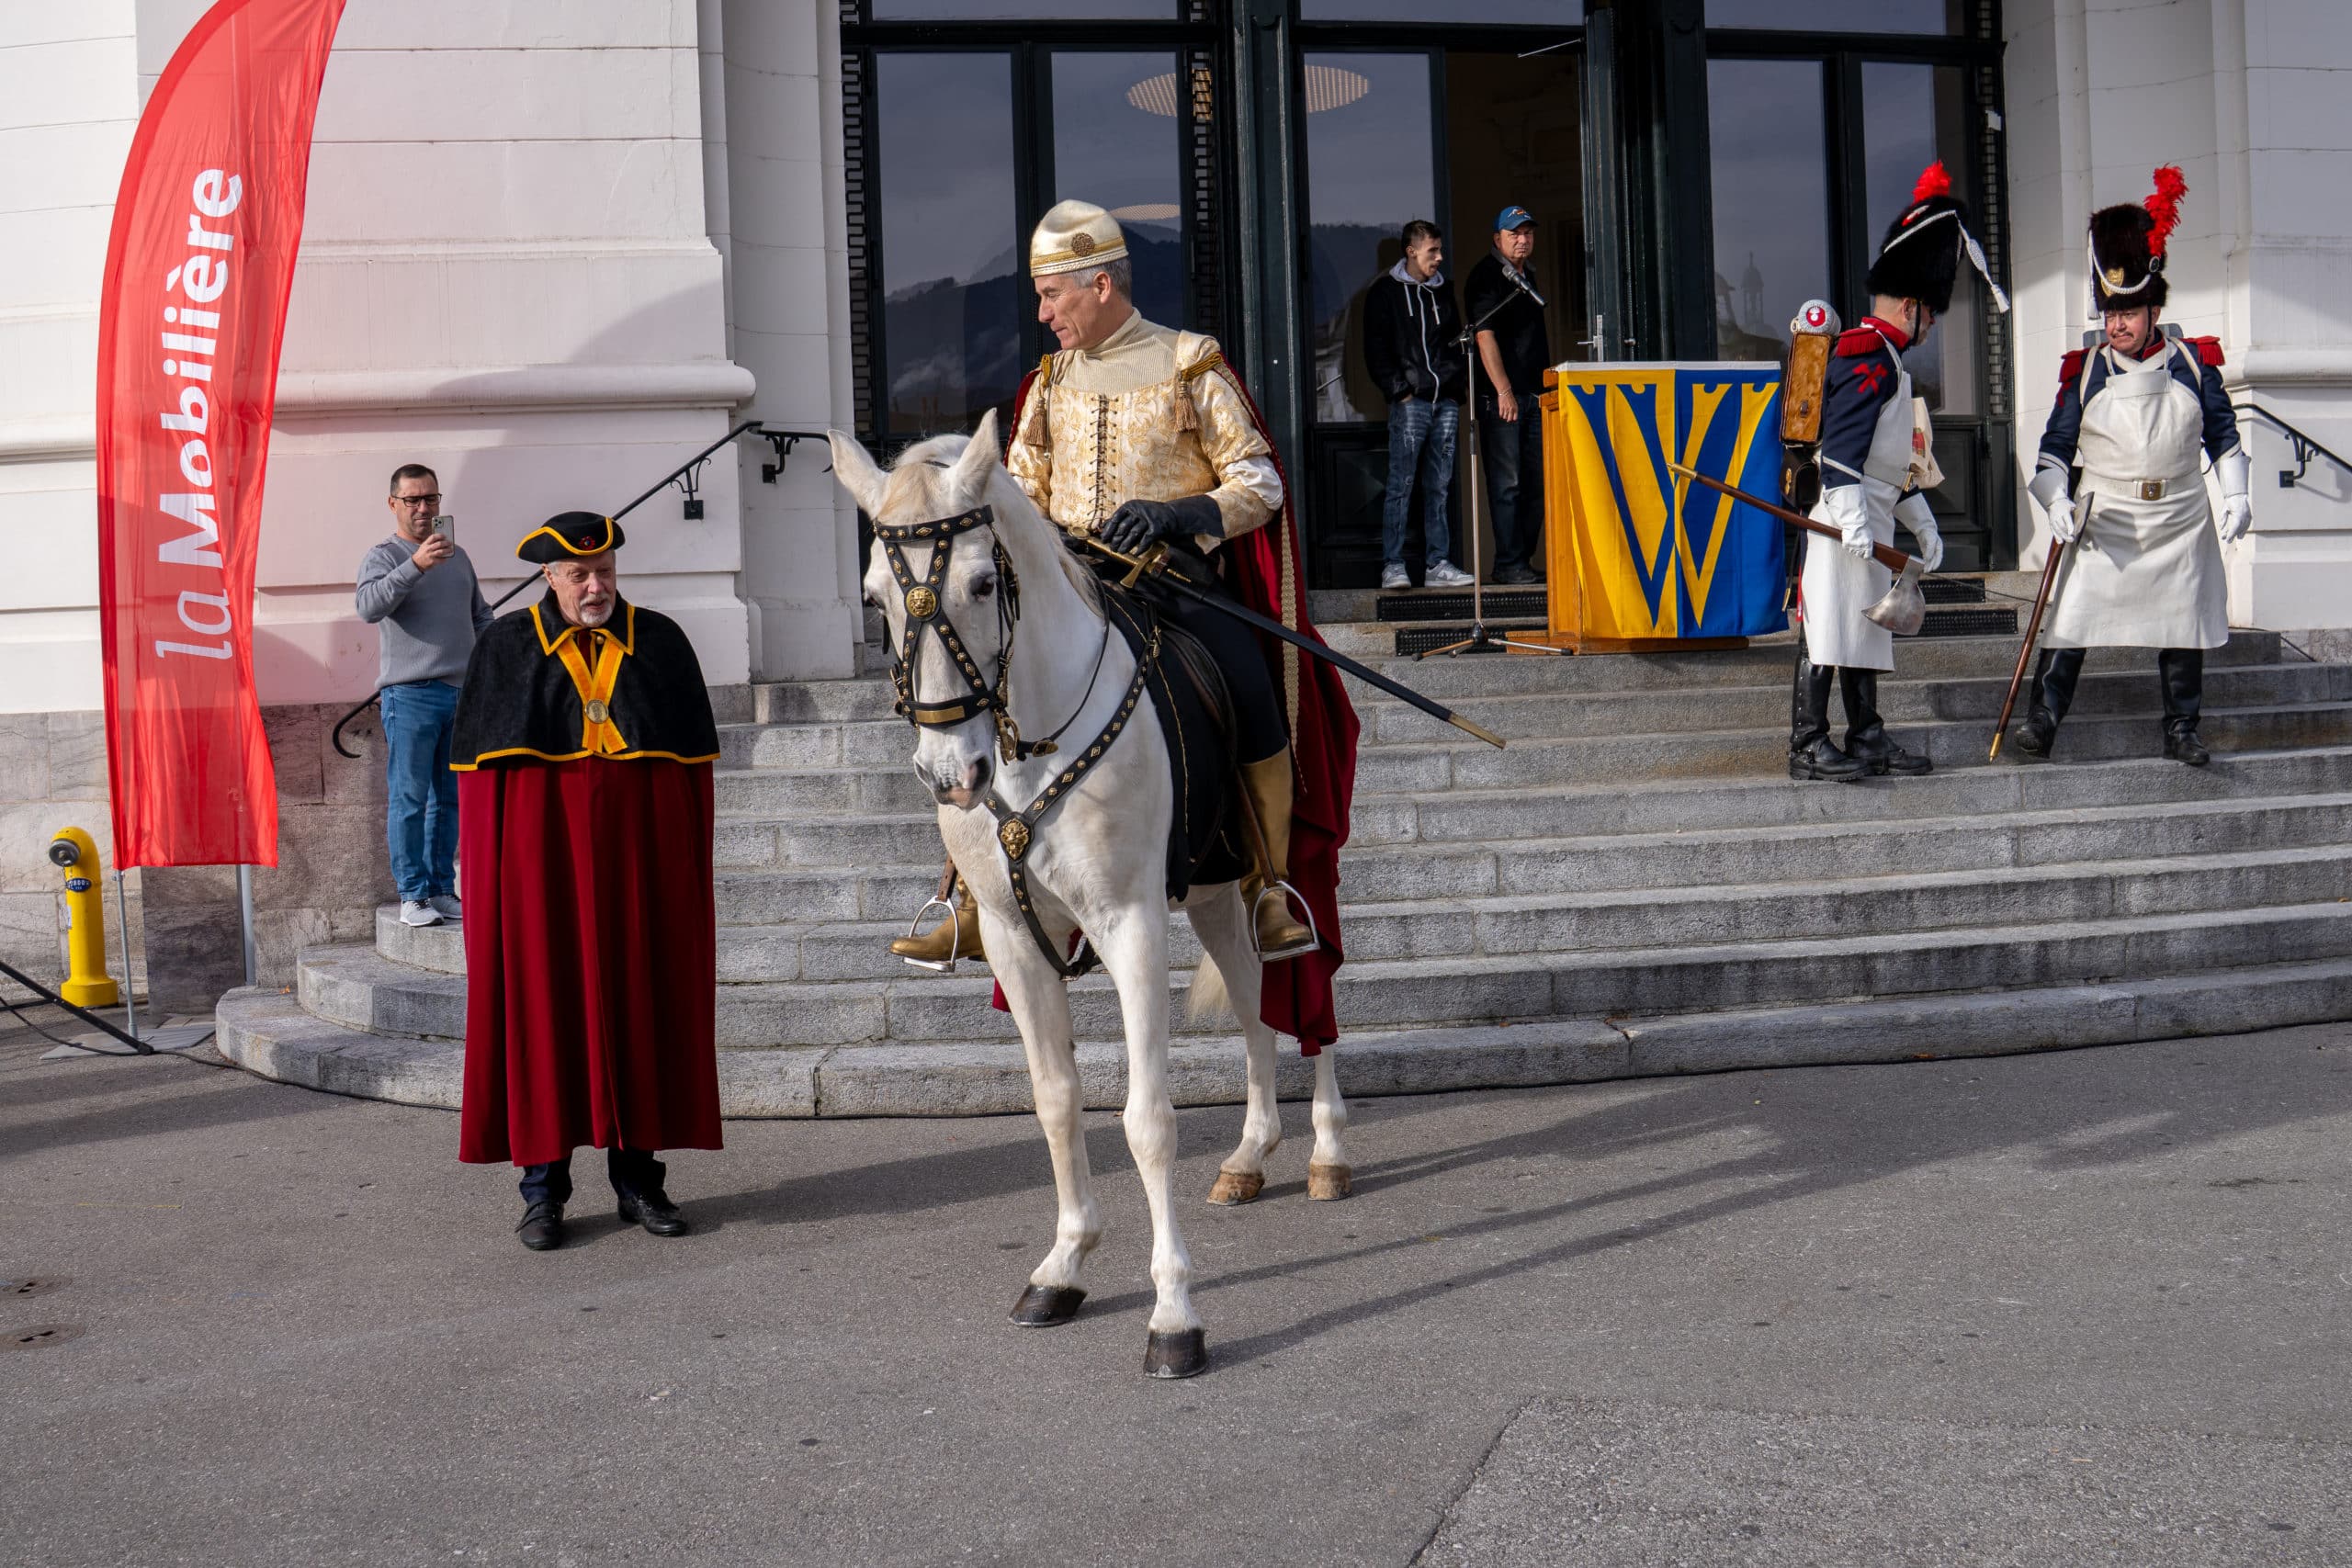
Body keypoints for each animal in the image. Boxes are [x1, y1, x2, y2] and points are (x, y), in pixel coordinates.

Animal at [826, 410, 1352, 1380]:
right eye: (876, 597)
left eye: (984, 581)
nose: (950, 775)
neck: (1032, 734)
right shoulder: (1010, 936)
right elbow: (1055, 1097)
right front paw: (1065, 1263)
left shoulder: (1130, 925)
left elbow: (1147, 1119)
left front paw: (1175, 1312)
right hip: (1215, 888)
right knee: (1253, 995)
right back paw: (1252, 1152)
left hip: (1292, 857)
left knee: (1312, 984)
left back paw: (1329, 1145)